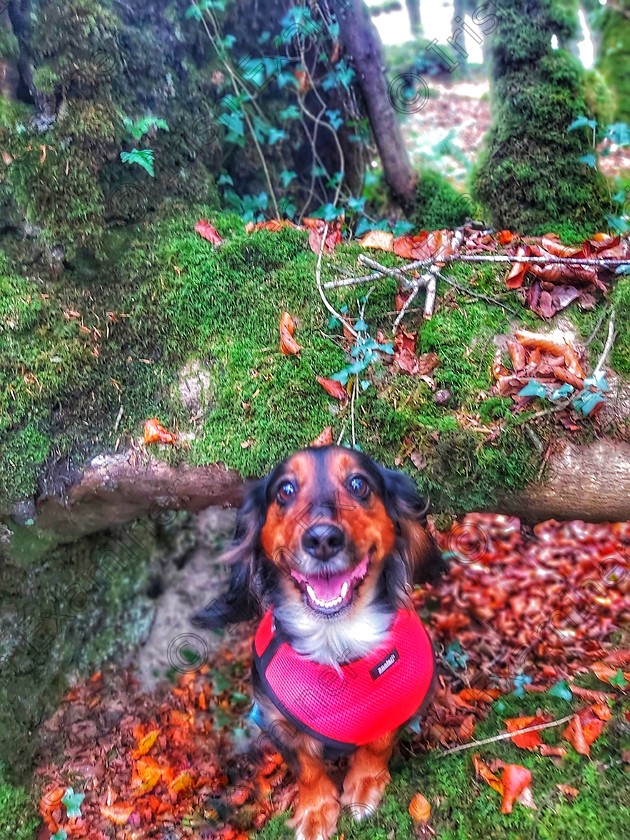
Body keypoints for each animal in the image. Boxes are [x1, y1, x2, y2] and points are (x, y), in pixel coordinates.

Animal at [193, 442, 444, 836]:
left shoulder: (407, 697)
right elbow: (307, 767)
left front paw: (365, 783)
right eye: (285, 490)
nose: (323, 539)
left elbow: (379, 742)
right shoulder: (276, 719)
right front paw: (316, 812)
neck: (336, 639)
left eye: (359, 484)